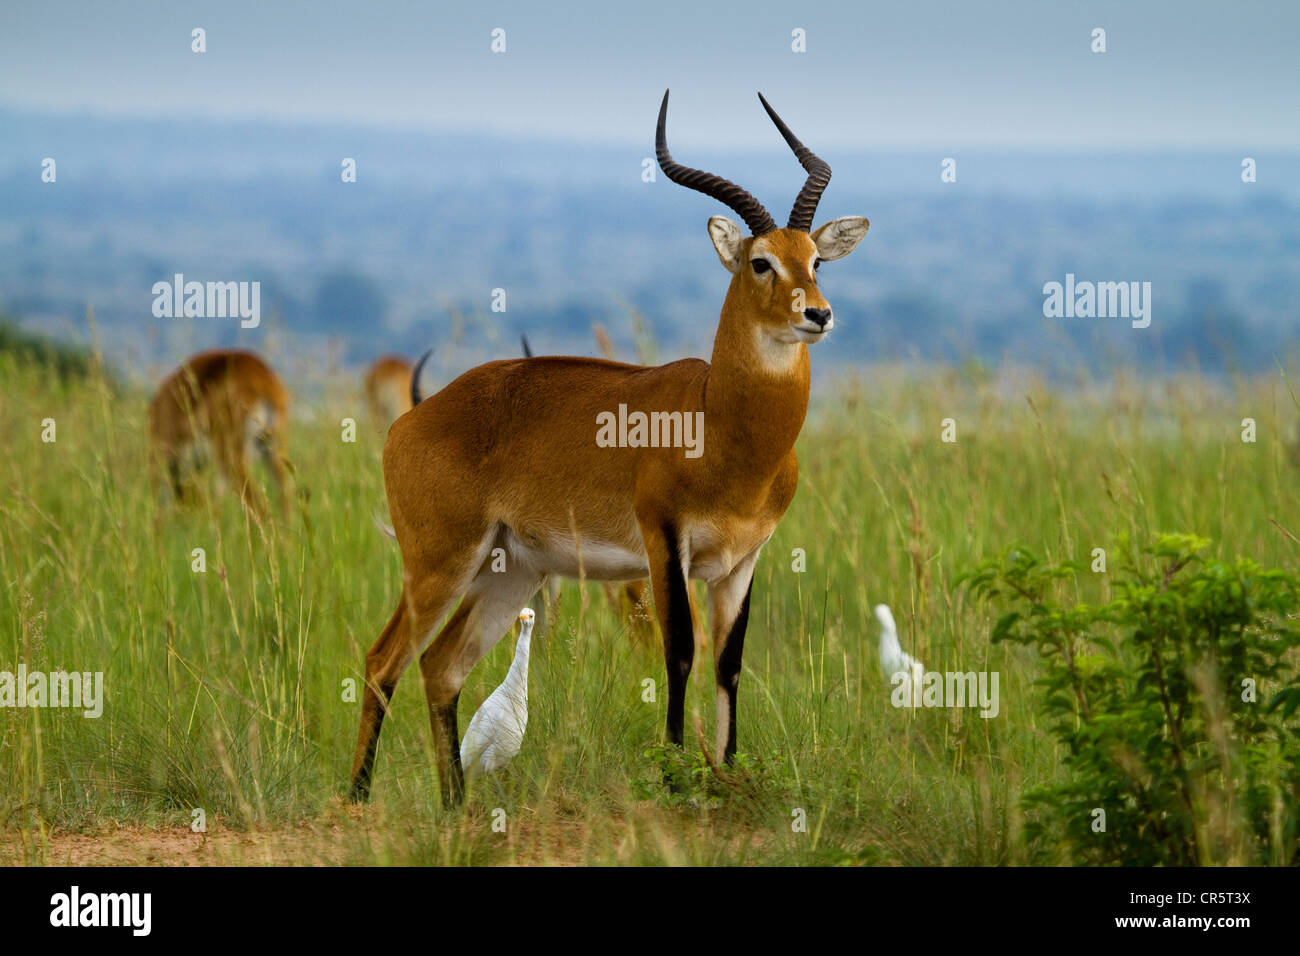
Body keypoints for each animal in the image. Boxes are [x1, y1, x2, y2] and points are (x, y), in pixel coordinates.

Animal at [351, 91, 868, 806]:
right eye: (761, 261)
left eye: (816, 260)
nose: (817, 314)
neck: (719, 421)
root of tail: (410, 421)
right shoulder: (664, 542)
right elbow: (680, 651)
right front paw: (675, 776)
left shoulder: (742, 560)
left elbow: (730, 664)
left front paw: (728, 773)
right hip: (438, 562)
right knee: (383, 660)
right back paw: (356, 798)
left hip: (511, 569)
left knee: (440, 666)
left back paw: (455, 805)